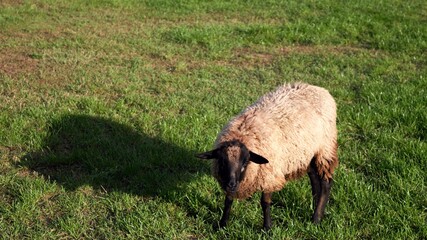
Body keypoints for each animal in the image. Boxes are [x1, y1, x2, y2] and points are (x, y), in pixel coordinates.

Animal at [196, 83, 340, 231]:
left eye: (245, 163)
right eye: (222, 163)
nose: (231, 184)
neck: (243, 133)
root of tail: (318, 89)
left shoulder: (268, 175)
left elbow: (265, 203)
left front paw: (267, 228)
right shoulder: (231, 180)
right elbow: (228, 200)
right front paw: (222, 224)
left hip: (325, 149)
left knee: (326, 183)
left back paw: (316, 218)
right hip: (307, 153)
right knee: (314, 178)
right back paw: (315, 205)